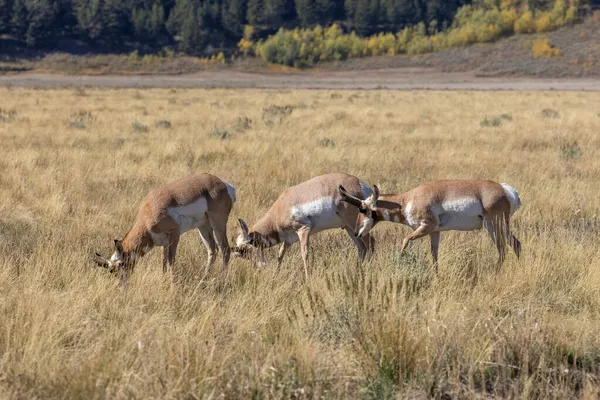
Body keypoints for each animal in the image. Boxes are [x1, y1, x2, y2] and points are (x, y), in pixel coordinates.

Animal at [94, 173, 234, 284]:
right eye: (110, 270)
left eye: (120, 264)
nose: (121, 284)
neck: (149, 211)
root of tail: (223, 184)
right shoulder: (165, 242)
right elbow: (164, 261)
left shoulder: (175, 233)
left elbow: (171, 260)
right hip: (203, 226)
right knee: (212, 250)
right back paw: (205, 277)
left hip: (217, 223)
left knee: (225, 249)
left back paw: (223, 278)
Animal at [234, 172, 376, 278]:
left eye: (243, 249)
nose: (258, 268)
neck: (281, 208)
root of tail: (361, 184)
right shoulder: (288, 240)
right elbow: (280, 255)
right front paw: (275, 275)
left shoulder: (303, 230)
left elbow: (304, 254)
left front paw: (307, 279)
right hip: (349, 229)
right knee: (362, 248)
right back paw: (357, 272)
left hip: (354, 226)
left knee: (370, 243)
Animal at [338, 180, 520, 272]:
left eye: (362, 209)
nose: (356, 233)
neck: (408, 199)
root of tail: (506, 189)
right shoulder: (435, 232)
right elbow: (434, 255)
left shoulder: (426, 227)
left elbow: (405, 240)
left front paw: (399, 261)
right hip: (498, 227)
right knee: (516, 244)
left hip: (494, 225)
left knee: (502, 249)